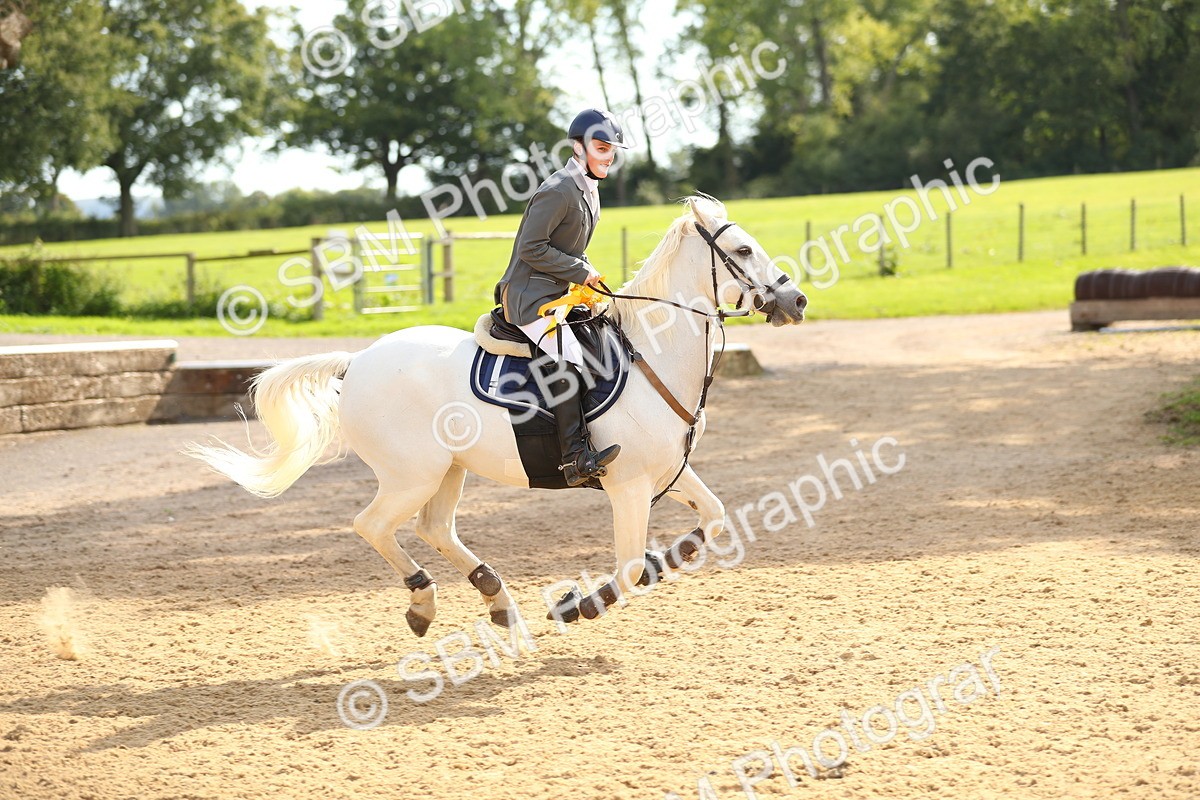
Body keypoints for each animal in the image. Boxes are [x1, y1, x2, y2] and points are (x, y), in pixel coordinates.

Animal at [186, 195, 807, 636]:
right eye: (744, 251)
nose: (796, 301)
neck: (651, 354)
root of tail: (356, 361)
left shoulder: (665, 476)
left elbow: (712, 519)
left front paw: (622, 580)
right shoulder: (627, 484)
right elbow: (631, 568)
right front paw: (579, 605)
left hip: (449, 471)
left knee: (434, 528)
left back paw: (496, 600)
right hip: (412, 475)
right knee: (373, 525)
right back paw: (424, 602)